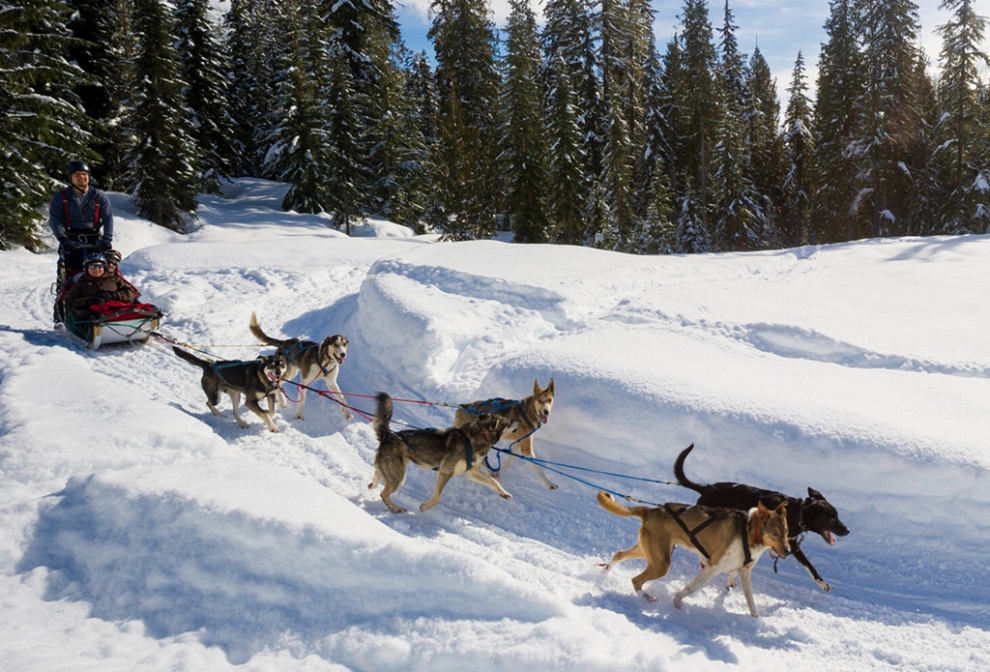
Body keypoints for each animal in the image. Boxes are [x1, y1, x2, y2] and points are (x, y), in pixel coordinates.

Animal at [372, 394, 512, 516]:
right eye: (508, 423)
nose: (516, 423)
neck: (476, 437)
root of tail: (388, 436)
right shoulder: (445, 472)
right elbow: (437, 497)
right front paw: (425, 507)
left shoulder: (471, 472)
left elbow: (493, 481)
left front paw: (504, 493)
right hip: (398, 479)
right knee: (383, 494)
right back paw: (396, 508)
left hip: (393, 472)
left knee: (377, 479)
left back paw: (373, 485)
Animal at [596, 490, 792, 616]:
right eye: (775, 533)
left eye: (786, 531)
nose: (789, 551)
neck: (749, 532)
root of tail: (651, 510)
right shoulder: (712, 567)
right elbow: (691, 588)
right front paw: (677, 601)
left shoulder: (744, 572)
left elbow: (751, 602)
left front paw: (756, 619)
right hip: (661, 563)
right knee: (635, 581)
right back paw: (647, 599)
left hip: (649, 553)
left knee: (619, 554)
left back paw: (605, 571)